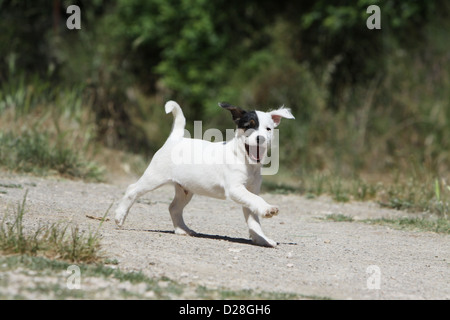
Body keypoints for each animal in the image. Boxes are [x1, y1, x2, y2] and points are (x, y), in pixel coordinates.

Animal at [114, 101, 294, 246]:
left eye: (268, 129)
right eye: (249, 125)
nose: (260, 138)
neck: (245, 160)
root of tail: (176, 138)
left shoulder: (250, 191)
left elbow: (253, 219)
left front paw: (262, 239)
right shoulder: (235, 189)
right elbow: (257, 201)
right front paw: (268, 209)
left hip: (185, 189)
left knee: (174, 208)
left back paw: (183, 230)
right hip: (154, 178)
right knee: (132, 190)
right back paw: (119, 216)